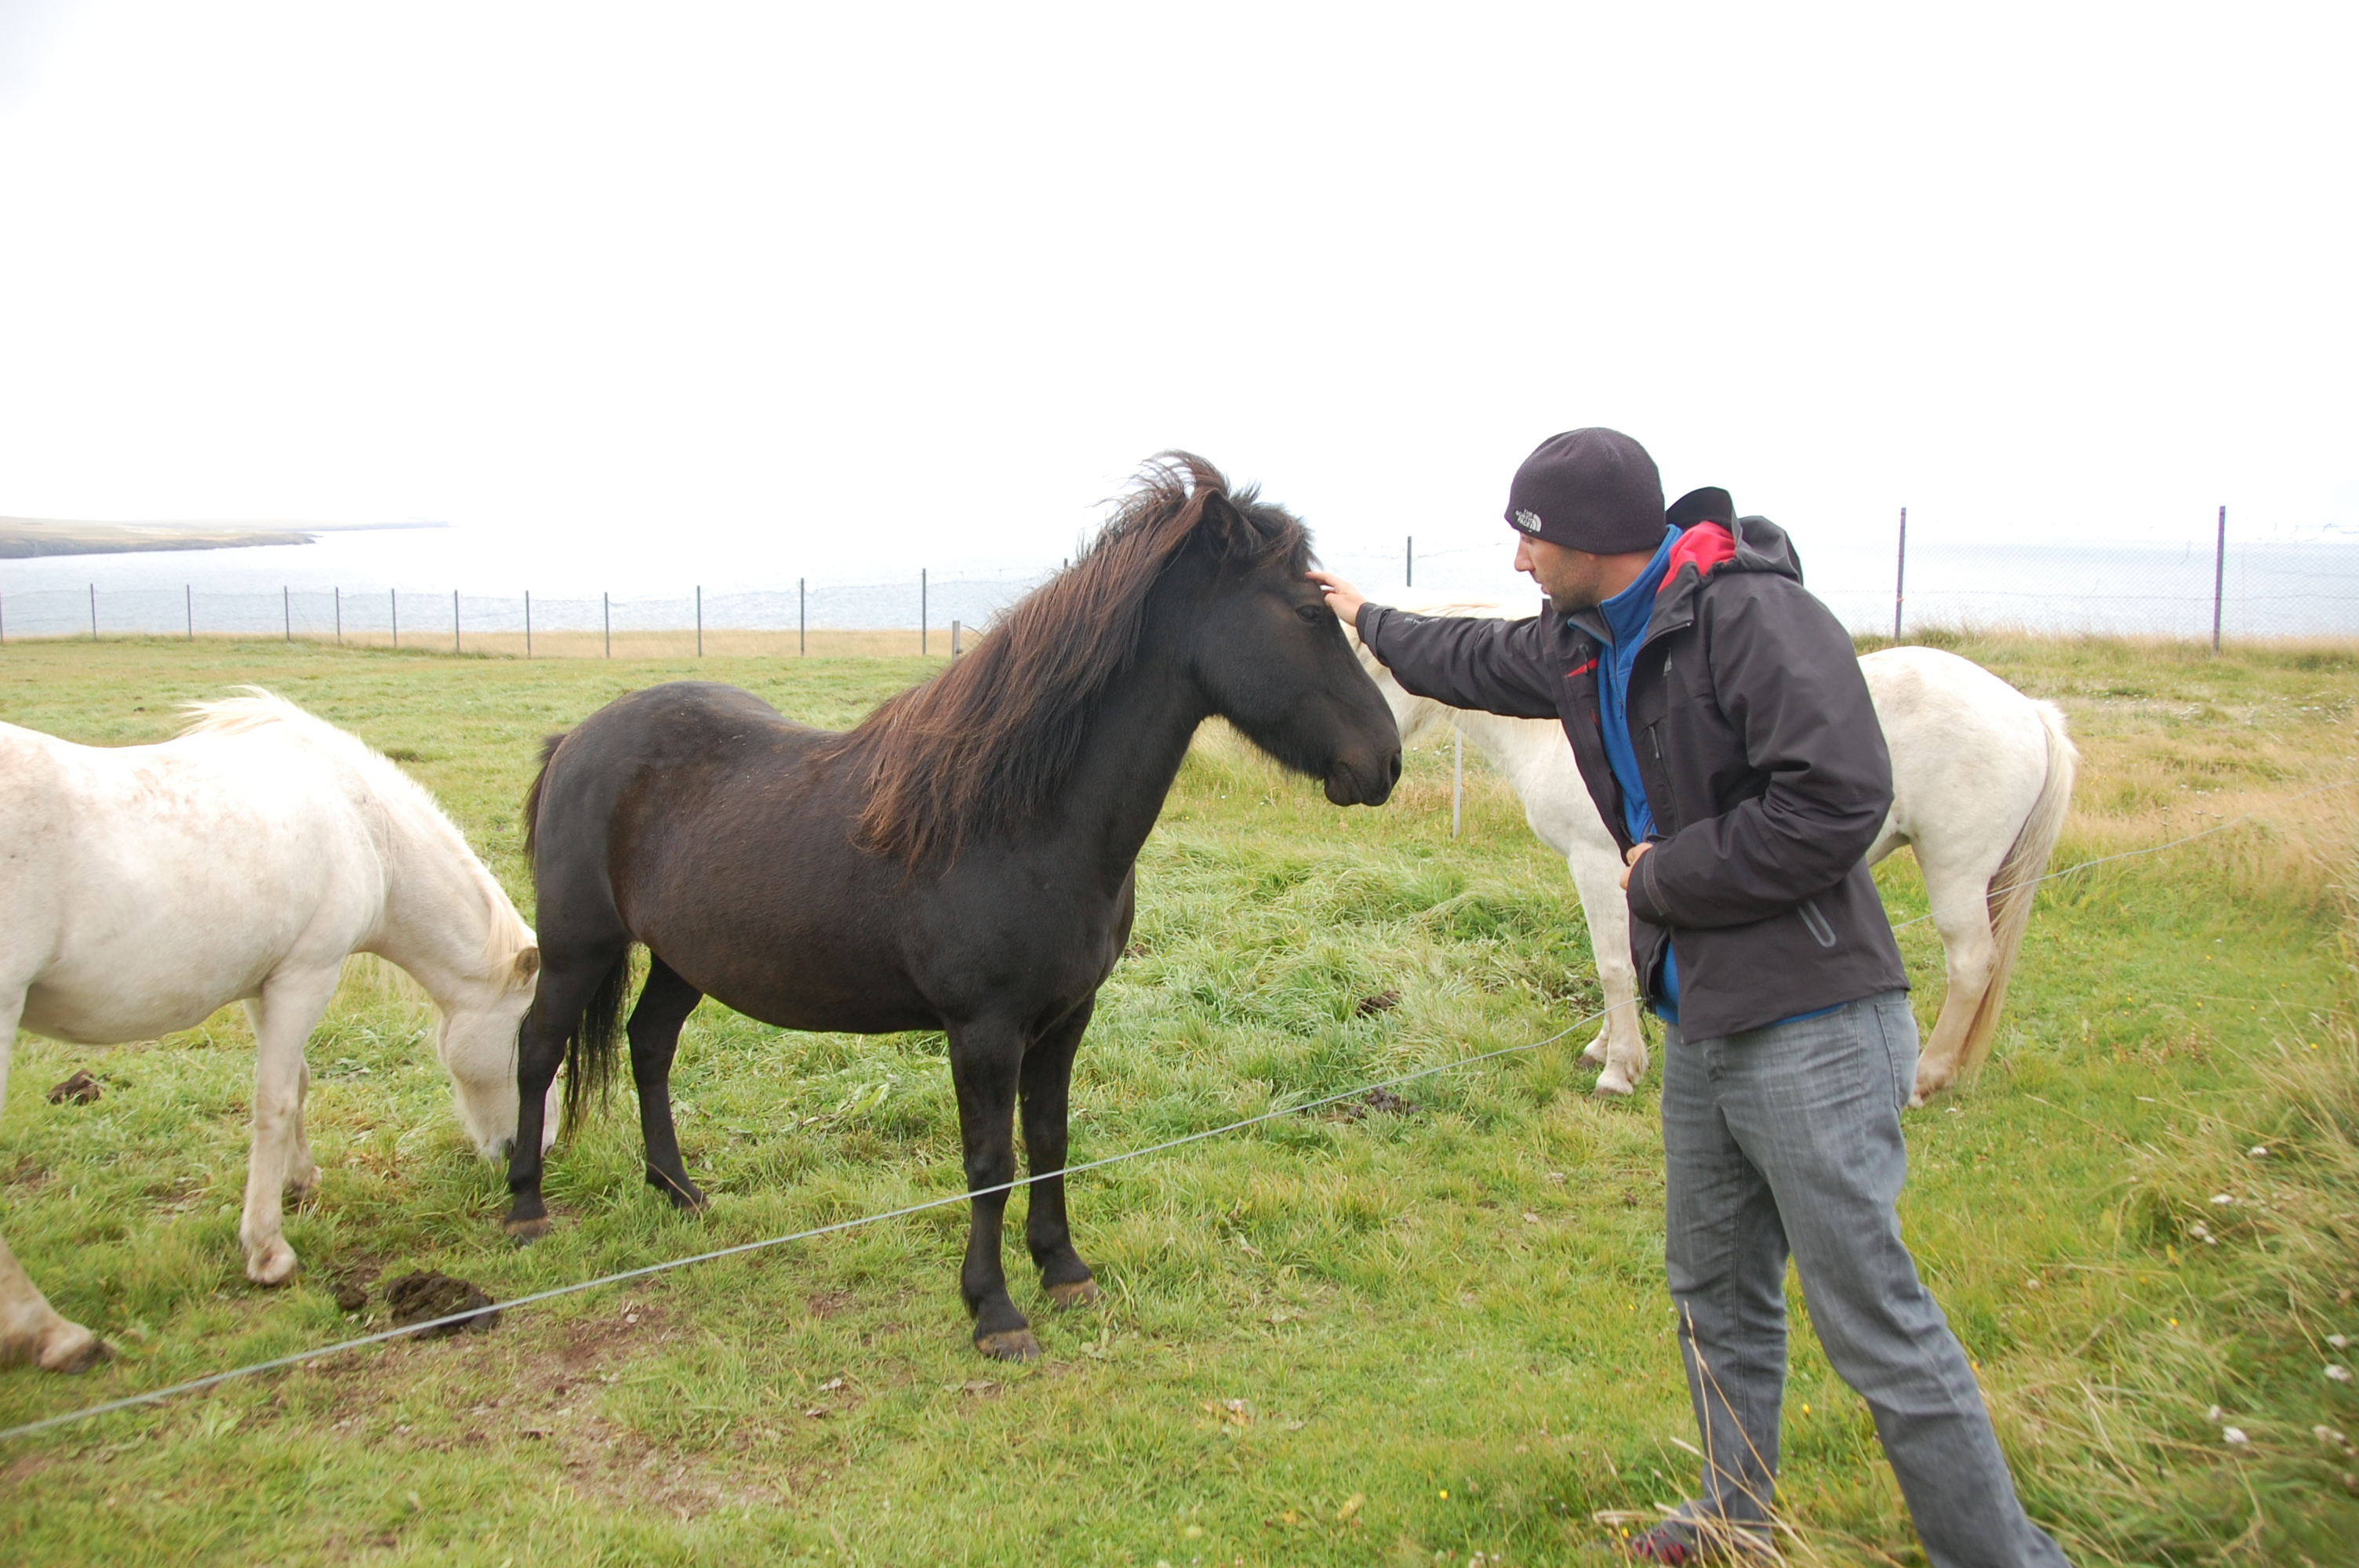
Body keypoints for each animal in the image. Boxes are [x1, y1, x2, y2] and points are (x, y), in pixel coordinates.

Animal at [2, 688, 542, 1367]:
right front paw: (268, 1252)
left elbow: (299, 1084)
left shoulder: (269, 983)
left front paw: (301, 1180)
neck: (365, 827)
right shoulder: (306, 976)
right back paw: (54, 1334)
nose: (534, 1149)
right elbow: (276, 1102)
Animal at [507, 455, 1396, 1358]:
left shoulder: (1066, 1017)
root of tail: (575, 741)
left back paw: (678, 1189)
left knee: (650, 1045)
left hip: (682, 957)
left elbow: (1049, 1141)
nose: (1386, 760)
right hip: (578, 946)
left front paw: (1063, 1270)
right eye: (1307, 611)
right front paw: (995, 1311)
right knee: (538, 1047)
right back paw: (526, 1208)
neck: (1021, 816)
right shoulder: (984, 1031)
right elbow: (989, 1165)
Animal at [1358, 598, 2076, 1098]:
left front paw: (1620, 1070)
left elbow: (1611, 962)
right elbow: (1624, 958)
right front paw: (1606, 1046)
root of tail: (2029, 712)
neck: (1552, 729)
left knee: (1971, 964)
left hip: (1956, 871)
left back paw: (1926, 1078)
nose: (1372, 769)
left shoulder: (1599, 863)